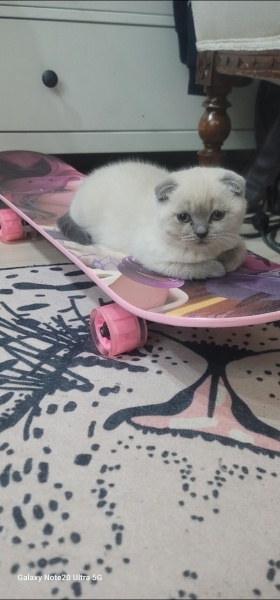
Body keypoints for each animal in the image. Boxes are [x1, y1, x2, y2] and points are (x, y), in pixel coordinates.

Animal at [57, 161, 247, 280]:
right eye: (183, 217)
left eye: (217, 215)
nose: (201, 233)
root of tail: (87, 180)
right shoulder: (158, 261)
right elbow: (200, 268)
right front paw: (220, 267)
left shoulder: (233, 238)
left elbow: (239, 252)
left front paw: (227, 260)